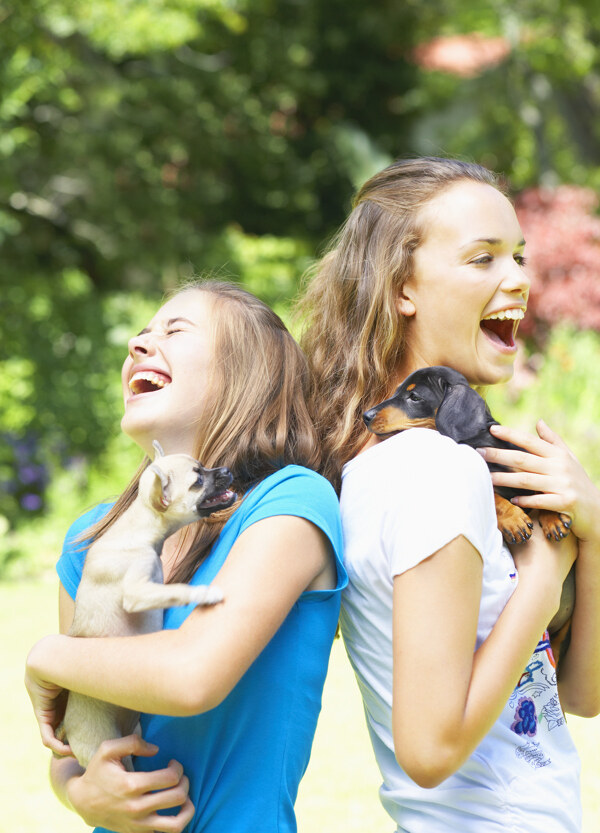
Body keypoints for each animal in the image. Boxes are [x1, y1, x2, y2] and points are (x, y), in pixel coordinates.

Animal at [59, 438, 237, 772]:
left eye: (204, 467)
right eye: (197, 481)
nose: (227, 470)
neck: (140, 526)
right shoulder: (138, 593)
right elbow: (175, 589)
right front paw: (204, 593)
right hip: (105, 746)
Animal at [364, 368, 576, 660]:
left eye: (414, 397)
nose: (366, 416)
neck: (476, 441)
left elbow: (540, 490)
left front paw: (553, 519)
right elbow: (495, 495)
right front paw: (513, 520)